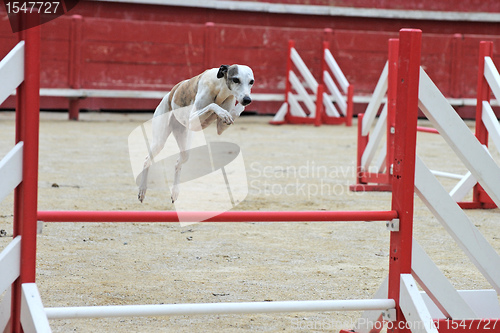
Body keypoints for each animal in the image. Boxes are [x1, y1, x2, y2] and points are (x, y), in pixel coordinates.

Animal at [137, 63, 254, 202]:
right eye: (236, 79)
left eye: (251, 82)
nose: (247, 99)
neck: (219, 87)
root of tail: (169, 94)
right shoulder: (193, 119)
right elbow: (212, 105)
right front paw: (222, 112)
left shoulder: (221, 126)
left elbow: (234, 112)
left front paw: (234, 110)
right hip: (159, 141)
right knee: (147, 160)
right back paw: (142, 189)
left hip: (185, 143)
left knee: (178, 162)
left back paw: (175, 192)